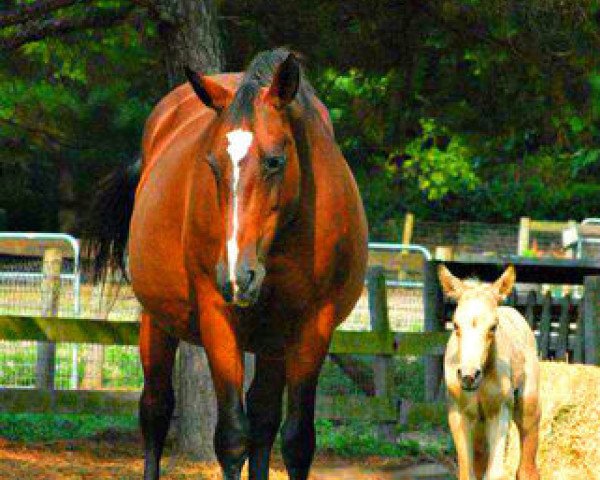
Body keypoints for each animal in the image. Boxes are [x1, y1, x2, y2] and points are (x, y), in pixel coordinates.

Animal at [84, 49, 366, 480]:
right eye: (213, 165)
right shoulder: (218, 317)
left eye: (274, 161)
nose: (237, 277)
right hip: (157, 321)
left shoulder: (313, 326)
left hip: (272, 340)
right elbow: (233, 437)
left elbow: (296, 441)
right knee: (156, 409)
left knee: (264, 418)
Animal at [438, 266, 540, 480]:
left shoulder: (500, 411)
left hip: (528, 407)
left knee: (527, 468)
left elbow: (495, 473)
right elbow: (467, 472)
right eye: (455, 325)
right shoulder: (458, 415)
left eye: (493, 327)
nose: (468, 376)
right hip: (478, 427)